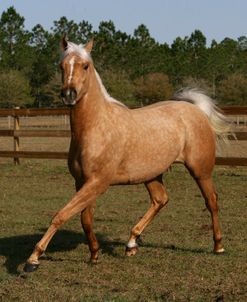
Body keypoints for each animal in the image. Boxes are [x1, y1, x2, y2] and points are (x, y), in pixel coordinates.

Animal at [23, 37, 230, 272]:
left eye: (85, 66)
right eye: (61, 66)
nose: (69, 94)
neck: (95, 126)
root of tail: (196, 111)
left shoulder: (97, 183)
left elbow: (61, 214)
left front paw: (33, 259)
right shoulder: (82, 182)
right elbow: (85, 219)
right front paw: (94, 254)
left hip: (200, 170)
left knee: (211, 201)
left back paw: (218, 246)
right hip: (151, 174)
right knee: (160, 200)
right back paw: (131, 243)